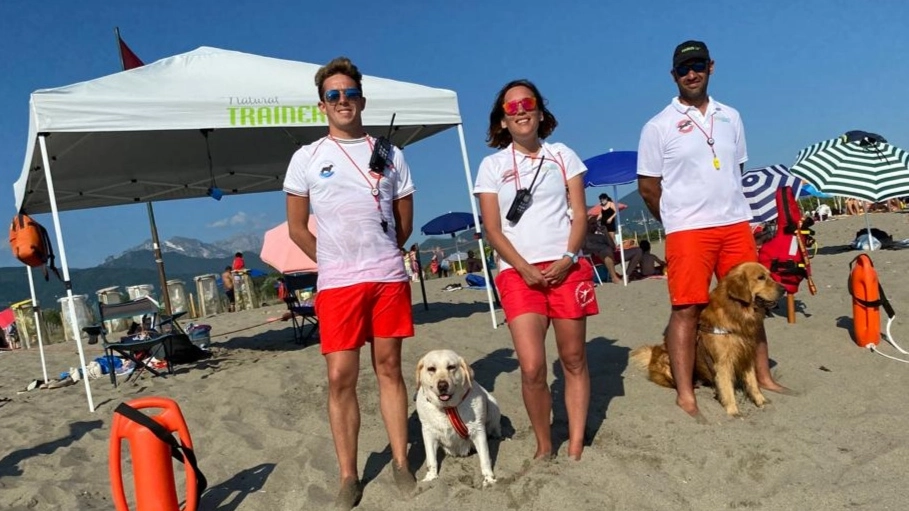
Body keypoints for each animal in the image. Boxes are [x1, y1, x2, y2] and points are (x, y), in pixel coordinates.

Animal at [414, 350, 500, 486]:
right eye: (431, 369)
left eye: (451, 367)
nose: (442, 385)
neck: (448, 408)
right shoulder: (428, 432)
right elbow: (431, 459)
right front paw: (430, 477)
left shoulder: (478, 430)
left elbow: (485, 458)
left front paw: (489, 478)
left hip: (493, 405)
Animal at [632, 264, 780, 416]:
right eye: (761, 278)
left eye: (770, 275)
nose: (783, 289)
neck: (737, 312)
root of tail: (652, 356)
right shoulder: (723, 362)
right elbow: (727, 388)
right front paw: (733, 411)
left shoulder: (746, 355)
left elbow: (753, 382)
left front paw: (760, 400)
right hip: (666, 359)